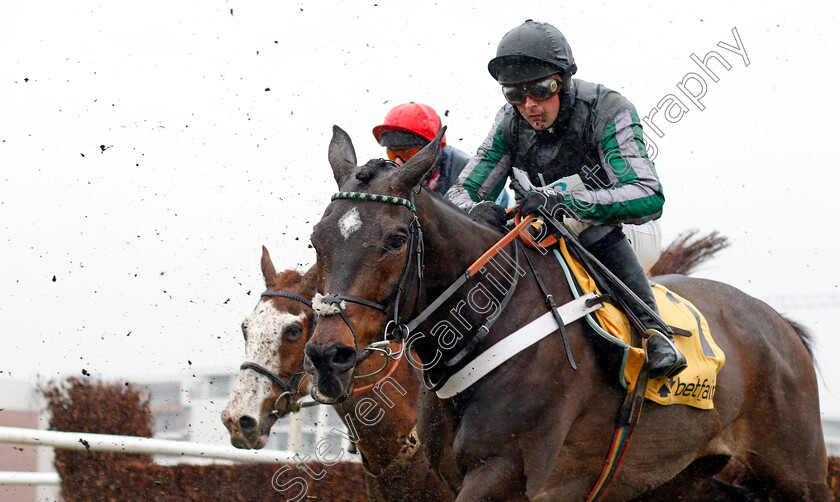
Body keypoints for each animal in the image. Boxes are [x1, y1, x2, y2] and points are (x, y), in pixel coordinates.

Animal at [304, 126, 828, 502]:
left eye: (395, 240)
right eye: (316, 238)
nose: (328, 355)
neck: (489, 321)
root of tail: (779, 324)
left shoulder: (503, 472)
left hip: (797, 468)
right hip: (674, 478)